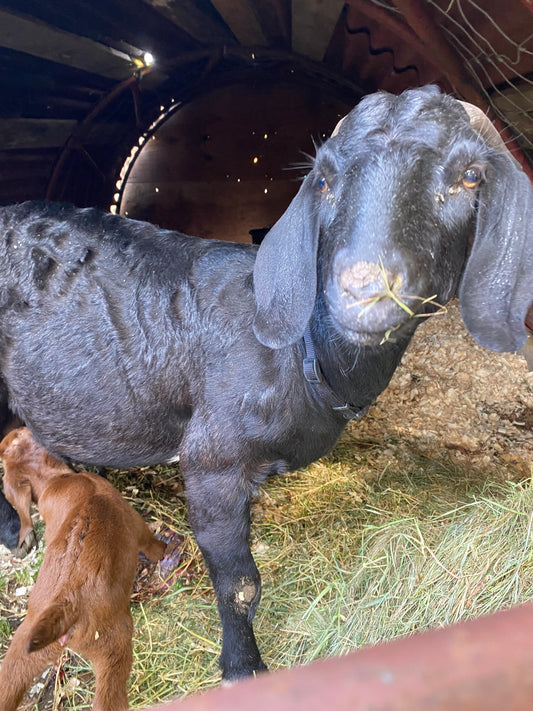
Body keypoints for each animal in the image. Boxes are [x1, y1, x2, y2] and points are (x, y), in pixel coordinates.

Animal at [0, 86, 528, 680]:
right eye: (324, 179)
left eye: (470, 176)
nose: (363, 287)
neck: (304, 355)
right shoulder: (212, 463)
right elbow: (240, 585)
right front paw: (242, 669)